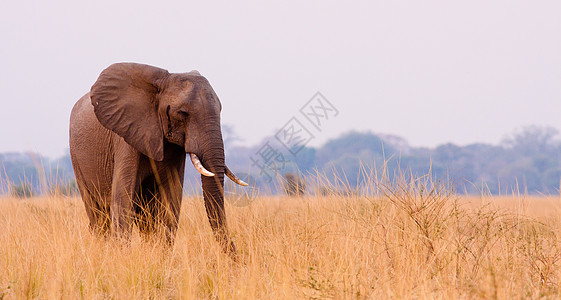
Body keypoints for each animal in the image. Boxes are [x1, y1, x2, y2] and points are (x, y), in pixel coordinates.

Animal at [68, 62, 247, 254]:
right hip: (76, 159)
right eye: (183, 113)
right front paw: (122, 255)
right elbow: (122, 196)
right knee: (98, 216)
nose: (237, 257)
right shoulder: (125, 136)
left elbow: (171, 199)